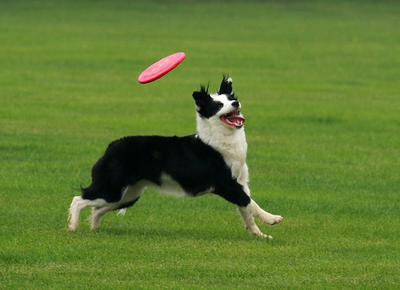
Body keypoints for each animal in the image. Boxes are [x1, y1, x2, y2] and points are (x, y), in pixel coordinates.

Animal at [68, 76, 282, 238]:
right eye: (219, 104)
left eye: (231, 98)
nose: (236, 103)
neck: (220, 140)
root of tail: (112, 146)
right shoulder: (225, 184)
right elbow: (249, 202)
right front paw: (272, 219)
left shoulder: (241, 182)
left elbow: (246, 210)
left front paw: (259, 235)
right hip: (112, 188)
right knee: (78, 199)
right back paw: (73, 227)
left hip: (127, 195)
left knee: (96, 209)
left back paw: (94, 229)